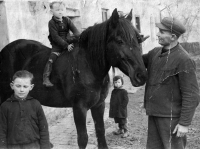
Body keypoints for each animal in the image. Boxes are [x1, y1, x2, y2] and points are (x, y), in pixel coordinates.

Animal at [0, 8, 147, 148]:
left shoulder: (99, 105)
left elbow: (100, 132)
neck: (88, 65)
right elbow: (82, 138)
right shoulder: (79, 108)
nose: (141, 75)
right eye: (119, 40)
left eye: (137, 39)